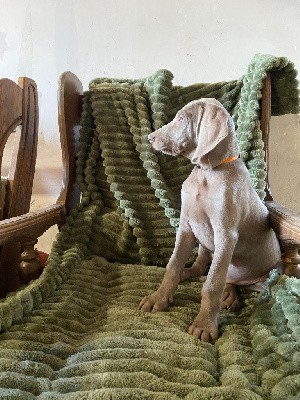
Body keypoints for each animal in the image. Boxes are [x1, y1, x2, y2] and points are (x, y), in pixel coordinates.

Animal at [139, 97, 282, 344]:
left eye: (180, 119)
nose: (150, 138)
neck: (206, 173)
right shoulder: (186, 227)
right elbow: (173, 266)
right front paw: (158, 298)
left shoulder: (225, 235)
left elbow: (212, 283)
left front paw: (204, 324)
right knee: (203, 268)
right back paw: (203, 281)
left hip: (264, 273)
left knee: (233, 280)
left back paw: (232, 297)